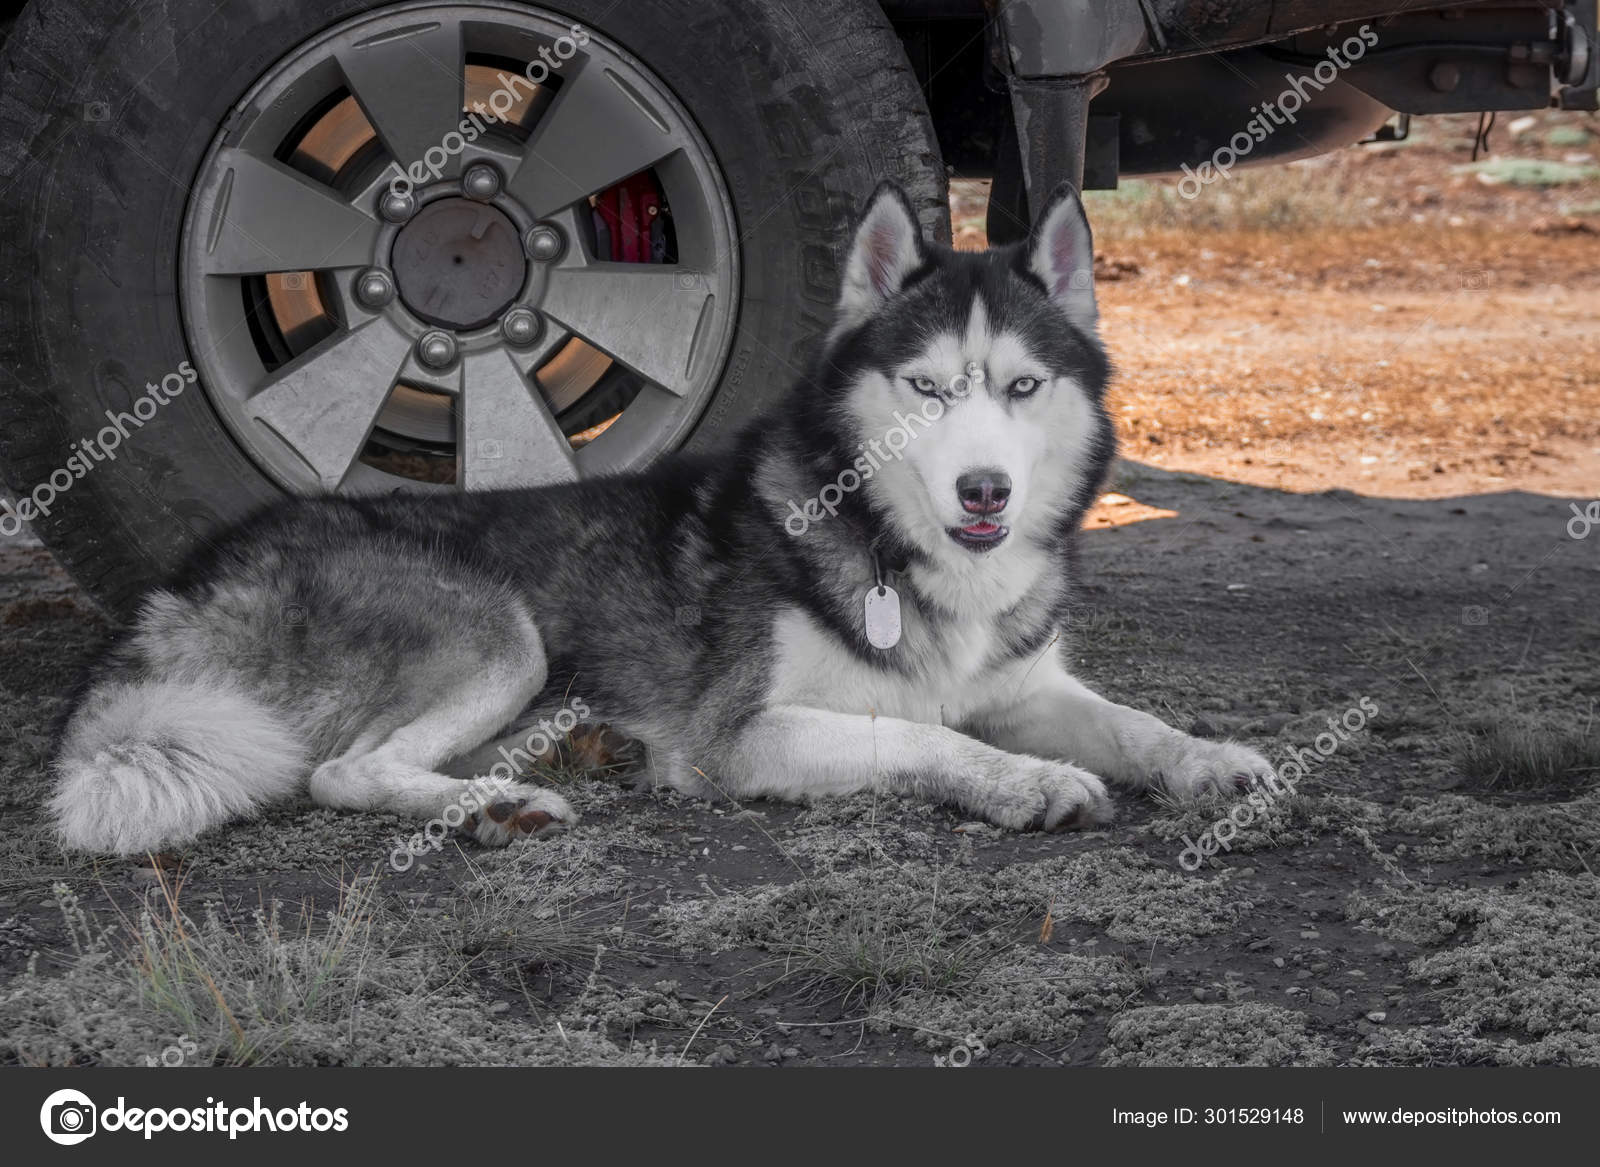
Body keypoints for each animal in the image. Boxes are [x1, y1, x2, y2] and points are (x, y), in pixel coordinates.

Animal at [53, 184, 1273, 858]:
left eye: (1021, 387)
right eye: (928, 389)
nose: (985, 492)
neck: (900, 554)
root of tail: (187, 582)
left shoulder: (1026, 687)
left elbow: (1130, 722)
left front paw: (1210, 760)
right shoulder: (747, 734)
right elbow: (926, 734)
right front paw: (1027, 785)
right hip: (502, 638)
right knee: (340, 773)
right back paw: (499, 806)